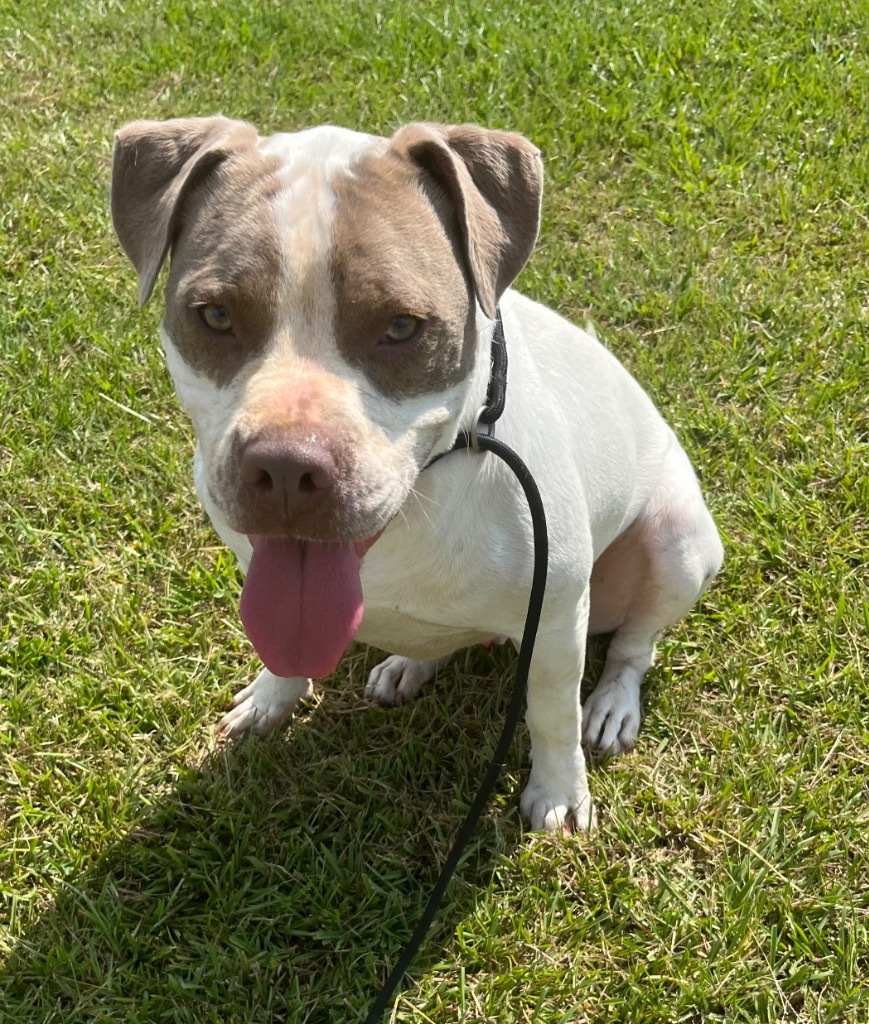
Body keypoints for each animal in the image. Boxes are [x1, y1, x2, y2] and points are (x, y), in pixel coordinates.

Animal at [112, 116, 720, 831]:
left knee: (634, 644)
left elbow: (551, 715)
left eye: (402, 326)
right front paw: (270, 698)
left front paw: (558, 793)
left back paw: (612, 704)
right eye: (214, 315)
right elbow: (279, 641)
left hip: (679, 544)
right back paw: (409, 664)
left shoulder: (557, 616)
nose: (286, 468)